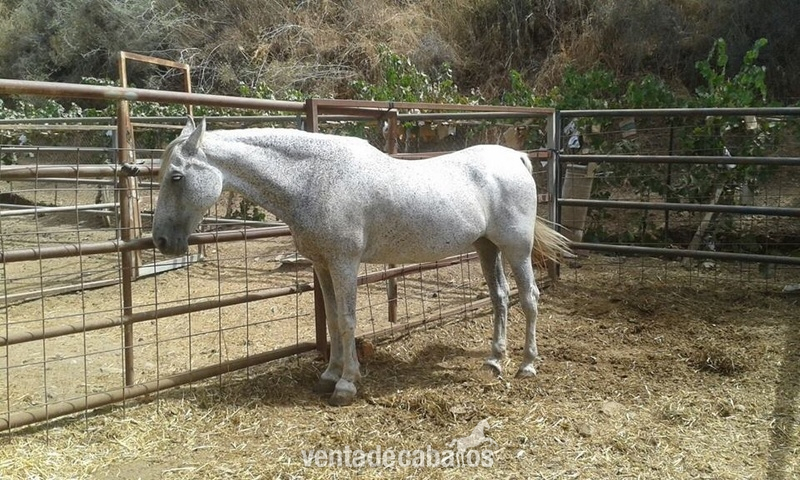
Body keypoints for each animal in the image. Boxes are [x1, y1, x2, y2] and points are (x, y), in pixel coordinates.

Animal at [152, 117, 571, 406]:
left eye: (176, 177)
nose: (160, 241)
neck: (314, 178)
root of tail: (517, 158)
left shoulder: (344, 263)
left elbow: (347, 320)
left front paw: (346, 383)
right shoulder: (322, 265)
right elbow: (334, 321)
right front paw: (329, 374)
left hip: (516, 248)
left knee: (529, 298)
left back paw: (527, 364)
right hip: (486, 247)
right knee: (500, 297)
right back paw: (494, 360)